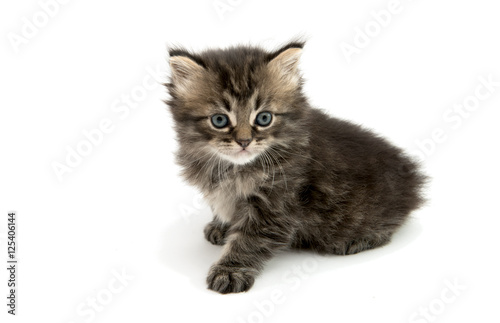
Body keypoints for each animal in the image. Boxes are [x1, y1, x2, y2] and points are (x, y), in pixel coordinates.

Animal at [164, 39, 426, 294]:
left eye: (264, 118)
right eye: (219, 120)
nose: (244, 141)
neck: (233, 168)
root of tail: (412, 176)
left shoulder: (277, 206)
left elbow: (249, 241)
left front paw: (230, 271)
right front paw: (220, 225)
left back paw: (356, 240)